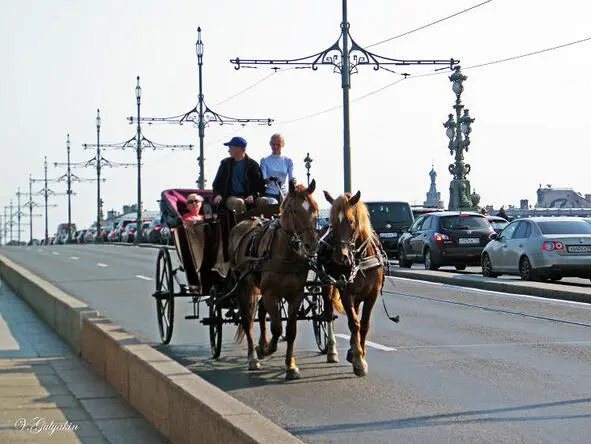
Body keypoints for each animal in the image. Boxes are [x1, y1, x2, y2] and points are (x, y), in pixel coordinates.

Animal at [228, 179, 320, 380]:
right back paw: (253, 358)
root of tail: (244, 221)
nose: (311, 245)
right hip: (244, 286)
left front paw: (290, 366)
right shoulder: (271, 294)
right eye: (294, 210)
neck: (286, 254)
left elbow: (291, 331)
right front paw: (267, 349)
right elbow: (277, 328)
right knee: (247, 319)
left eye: (315, 209)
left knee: (261, 312)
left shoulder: (295, 295)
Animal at [322, 192, 386, 378]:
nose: (340, 256)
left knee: (356, 312)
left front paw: (359, 353)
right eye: (333, 222)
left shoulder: (372, 294)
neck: (360, 260)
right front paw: (358, 360)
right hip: (327, 285)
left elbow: (363, 324)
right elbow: (354, 323)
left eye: (351, 221)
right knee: (328, 314)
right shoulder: (346, 292)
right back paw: (332, 350)